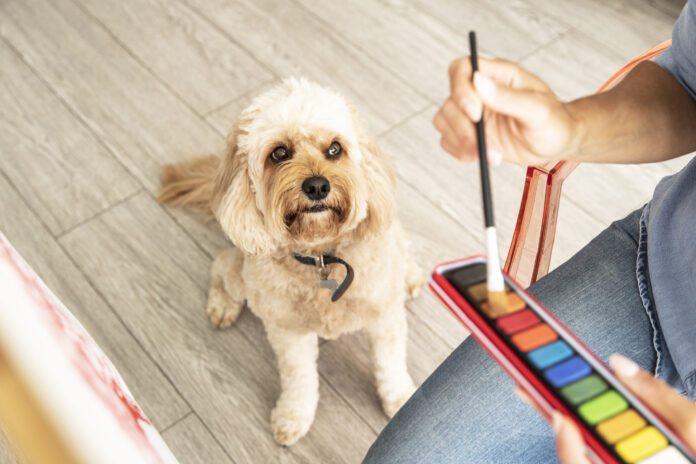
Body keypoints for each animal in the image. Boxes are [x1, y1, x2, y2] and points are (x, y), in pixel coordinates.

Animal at [160, 80, 422, 446]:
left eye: (335, 148)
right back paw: (223, 306)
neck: (321, 256)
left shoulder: (384, 316)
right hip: (244, 273)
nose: (317, 185)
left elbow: (390, 365)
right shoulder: (288, 331)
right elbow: (299, 378)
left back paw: (409, 276)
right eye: (280, 153)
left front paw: (399, 400)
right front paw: (293, 416)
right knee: (222, 263)